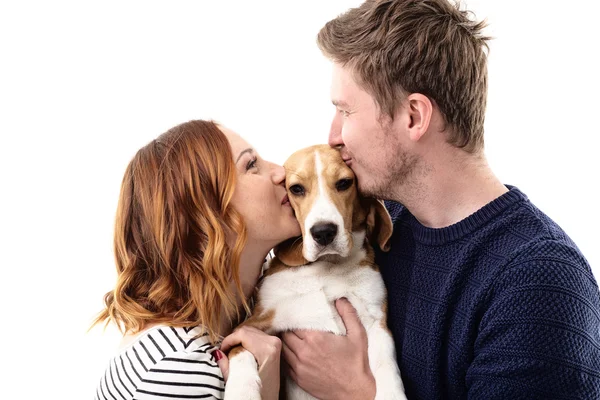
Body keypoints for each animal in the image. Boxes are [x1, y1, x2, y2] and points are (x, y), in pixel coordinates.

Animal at [225, 145, 408, 400]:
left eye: (344, 183)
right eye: (296, 189)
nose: (323, 232)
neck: (326, 267)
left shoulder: (376, 321)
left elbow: (386, 364)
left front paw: (391, 394)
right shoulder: (253, 324)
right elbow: (239, 350)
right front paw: (242, 391)